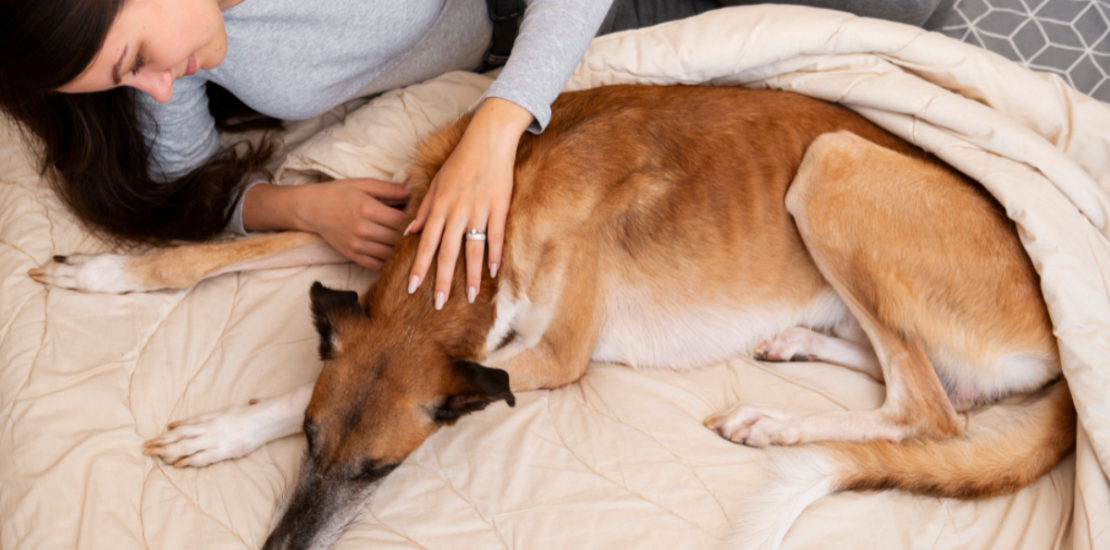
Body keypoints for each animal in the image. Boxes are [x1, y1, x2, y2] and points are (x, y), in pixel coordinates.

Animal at [34, 82, 1074, 550]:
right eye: (310, 447)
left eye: (380, 473)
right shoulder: (382, 236)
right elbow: (222, 253)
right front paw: (105, 273)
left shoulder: (548, 356)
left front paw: (220, 429)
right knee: (933, 390)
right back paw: (789, 344)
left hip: (833, 167)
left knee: (928, 410)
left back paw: (772, 421)